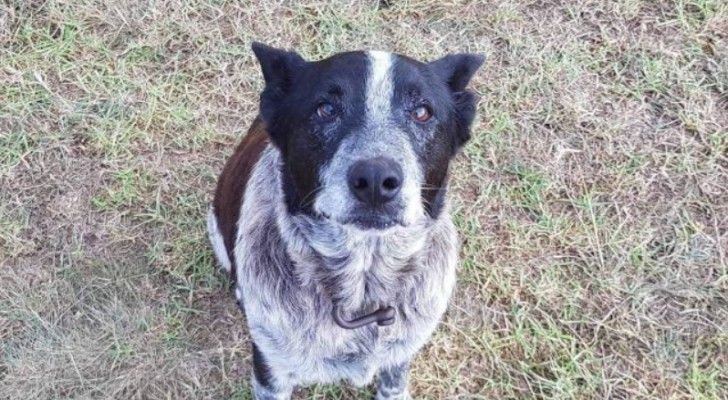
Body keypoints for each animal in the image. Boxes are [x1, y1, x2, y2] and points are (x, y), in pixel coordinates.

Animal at [206, 42, 484, 398]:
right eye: (326, 109)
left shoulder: (400, 355)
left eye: (422, 112)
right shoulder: (271, 371)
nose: (376, 179)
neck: (361, 291)